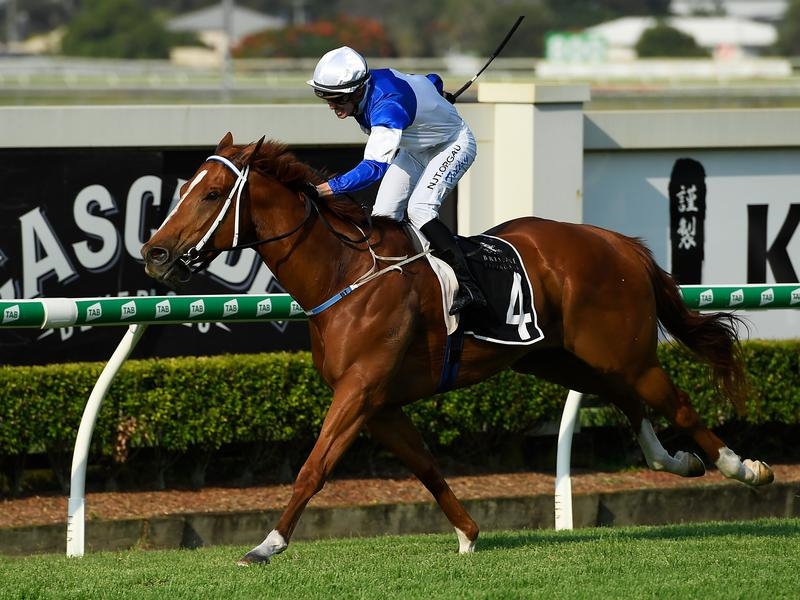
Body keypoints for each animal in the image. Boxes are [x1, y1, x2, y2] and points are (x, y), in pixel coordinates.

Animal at [141, 132, 774, 566]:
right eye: (183, 189)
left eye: (213, 194)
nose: (154, 253)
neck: (344, 273)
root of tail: (621, 243)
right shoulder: (380, 403)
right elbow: (425, 465)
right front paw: (468, 534)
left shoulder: (359, 391)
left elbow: (313, 467)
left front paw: (267, 545)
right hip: (559, 358)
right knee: (631, 404)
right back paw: (680, 462)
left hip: (625, 354)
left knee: (679, 405)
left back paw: (742, 466)